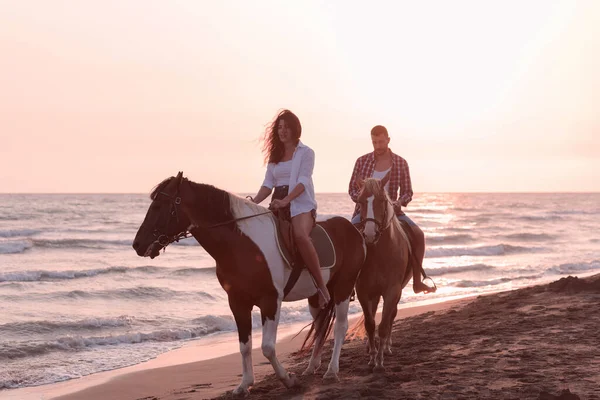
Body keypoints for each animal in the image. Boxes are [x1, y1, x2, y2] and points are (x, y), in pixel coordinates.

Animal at [132, 173, 366, 396]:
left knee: (340, 326)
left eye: (160, 205)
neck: (241, 244)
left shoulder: (270, 301)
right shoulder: (237, 302)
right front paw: (244, 385)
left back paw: (331, 371)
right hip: (316, 296)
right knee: (320, 326)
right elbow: (245, 346)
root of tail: (353, 229)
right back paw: (311, 368)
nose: (137, 244)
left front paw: (288, 381)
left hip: (343, 287)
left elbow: (267, 347)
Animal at [354, 174, 414, 372]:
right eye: (360, 201)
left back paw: (386, 346)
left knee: (391, 316)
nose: (369, 234)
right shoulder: (363, 291)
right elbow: (370, 324)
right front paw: (372, 357)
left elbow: (383, 324)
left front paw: (380, 361)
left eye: (381, 201)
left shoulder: (392, 290)